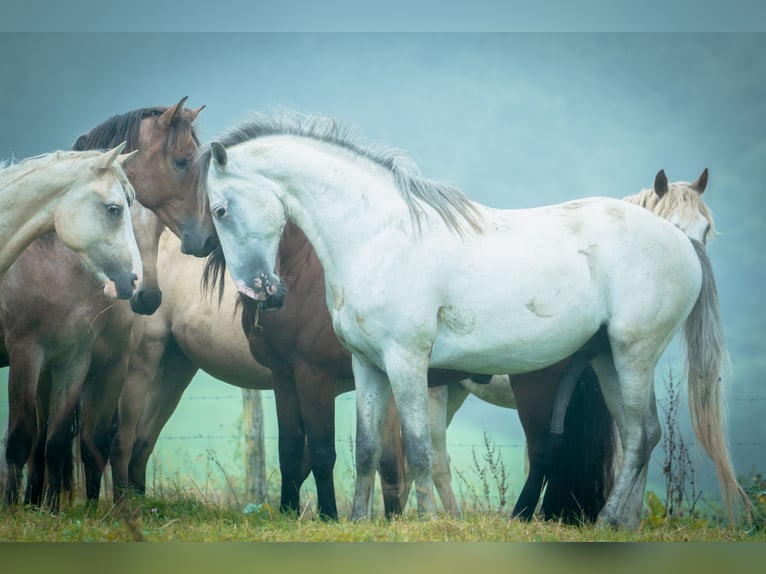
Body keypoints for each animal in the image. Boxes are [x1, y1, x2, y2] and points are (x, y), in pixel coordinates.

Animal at [198, 112, 749, 529]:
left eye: (221, 209)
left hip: (633, 355)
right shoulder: (367, 367)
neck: (379, 234)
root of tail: (679, 240)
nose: (262, 291)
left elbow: (418, 449)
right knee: (640, 434)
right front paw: (357, 521)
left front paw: (425, 523)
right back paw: (620, 525)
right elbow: (367, 448)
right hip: (609, 359)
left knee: (639, 436)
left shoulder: (406, 362)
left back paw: (605, 521)